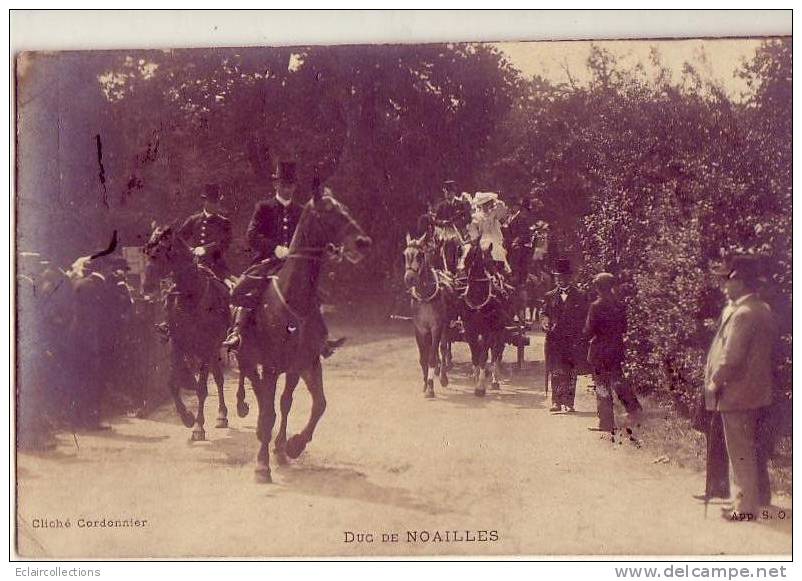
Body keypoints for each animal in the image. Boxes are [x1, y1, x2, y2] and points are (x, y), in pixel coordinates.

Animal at [142, 223, 231, 440]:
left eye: (161, 250)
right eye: (146, 250)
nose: (146, 286)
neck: (192, 295)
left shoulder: (207, 346)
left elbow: (201, 389)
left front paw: (198, 427)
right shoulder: (177, 344)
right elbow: (172, 384)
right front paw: (187, 418)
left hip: (213, 348)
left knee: (218, 378)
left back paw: (222, 416)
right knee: (216, 376)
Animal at [244, 188, 372, 482]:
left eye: (346, 209)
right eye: (328, 212)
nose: (363, 243)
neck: (295, 302)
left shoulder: (305, 364)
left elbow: (313, 404)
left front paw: (289, 446)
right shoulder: (271, 366)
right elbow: (269, 412)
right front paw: (262, 465)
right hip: (248, 361)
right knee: (259, 394)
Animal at [400, 233, 450, 396]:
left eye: (420, 255)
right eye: (405, 254)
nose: (409, 278)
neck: (425, 295)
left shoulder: (436, 327)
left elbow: (432, 358)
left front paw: (430, 387)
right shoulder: (419, 329)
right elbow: (423, 358)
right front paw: (424, 383)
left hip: (446, 326)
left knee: (443, 348)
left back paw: (443, 377)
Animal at [456, 239, 506, 394]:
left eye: (473, 252)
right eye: (460, 251)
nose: (460, 270)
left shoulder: (487, 331)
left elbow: (484, 355)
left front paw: (480, 386)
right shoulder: (469, 330)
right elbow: (475, 354)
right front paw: (476, 377)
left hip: (499, 331)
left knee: (496, 353)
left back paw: (495, 380)